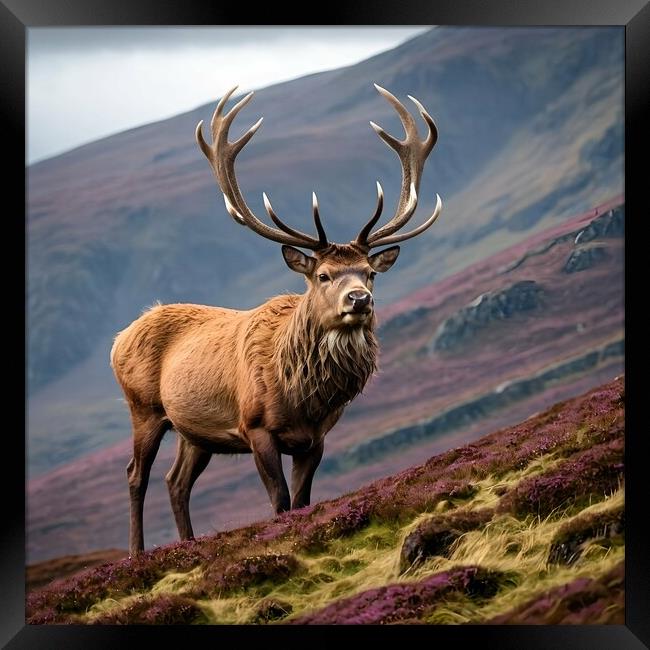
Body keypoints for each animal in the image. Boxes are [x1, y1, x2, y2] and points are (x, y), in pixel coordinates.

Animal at [111, 83, 442, 556]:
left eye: (371, 273)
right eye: (323, 275)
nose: (359, 299)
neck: (303, 395)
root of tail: (119, 338)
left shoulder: (316, 438)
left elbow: (302, 500)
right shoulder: (255, 427)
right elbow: (281, 501)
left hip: (194, 431)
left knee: (177, 483)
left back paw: (187, 546)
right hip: (144, 408)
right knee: (136, 475)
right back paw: (137, 555)